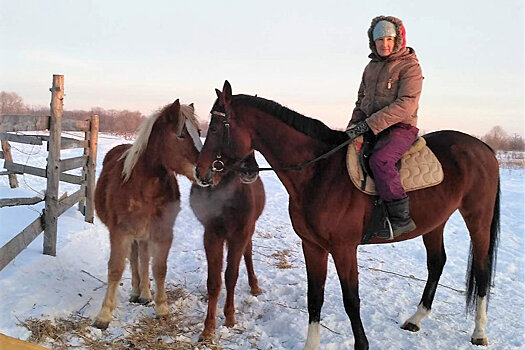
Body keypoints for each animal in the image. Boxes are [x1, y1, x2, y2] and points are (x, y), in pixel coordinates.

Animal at [93, 100, 202, 330]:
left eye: (199, 132)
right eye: (180, 134)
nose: (209, 172)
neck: (144, 187)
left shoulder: (163, 233)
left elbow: (159, 268)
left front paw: (162, 308)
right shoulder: (120, 233)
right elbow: (115, 269)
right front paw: (104, 315)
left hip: (143, 235)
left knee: (142, 259)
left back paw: (144, 294)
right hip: (133, 234)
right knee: (134, 260)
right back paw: (136, 292)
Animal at [189, 152, 266, 340]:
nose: (250, 170)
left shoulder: (239, 235)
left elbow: (231, 276)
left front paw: (230, 317)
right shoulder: (212, 236)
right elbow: (214, 282)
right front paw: (208, 328)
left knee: (248, 252)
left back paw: (254, 286)